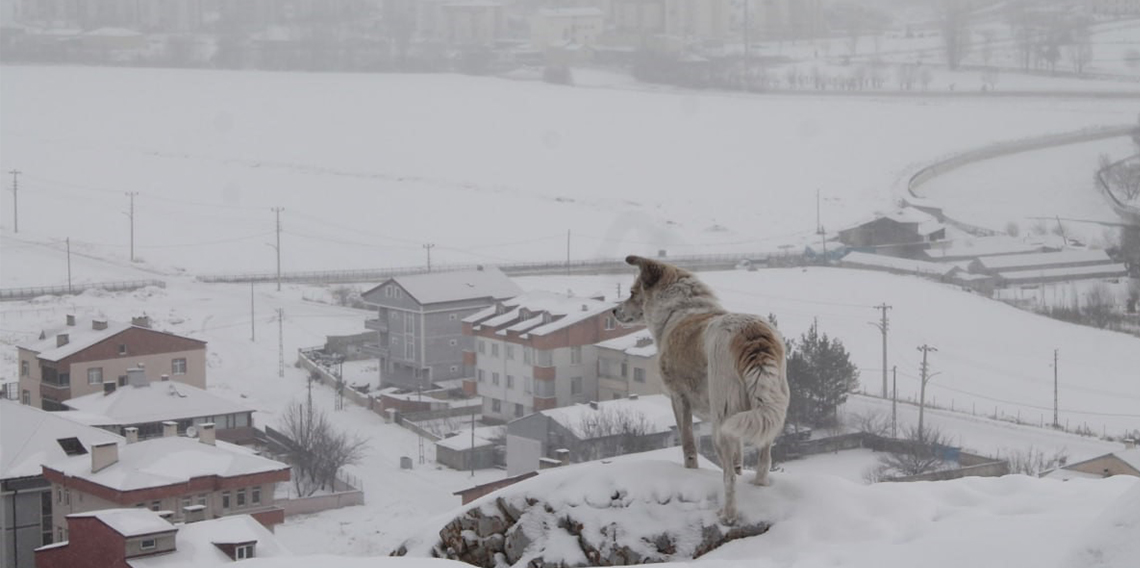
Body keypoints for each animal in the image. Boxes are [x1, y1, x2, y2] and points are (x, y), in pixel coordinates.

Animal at [611, 256, 788, 524]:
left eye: (632, 293)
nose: (613, 311)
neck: (679, 309)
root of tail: (752, 335)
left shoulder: (678, 399)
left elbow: (688, 446)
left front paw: (690, 471)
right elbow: (739, 460)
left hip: (721, 424)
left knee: (728, 478)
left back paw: (728, 515)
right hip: (765, 417)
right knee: (763, 461)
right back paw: (758, 488)